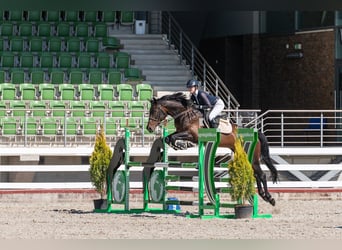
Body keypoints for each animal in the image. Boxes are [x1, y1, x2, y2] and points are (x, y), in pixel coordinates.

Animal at [146, 92, 278, 205]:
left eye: (154, 111)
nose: (149, 128)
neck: (185, 114)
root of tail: (256, 133)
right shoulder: (182, 132)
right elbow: (168, 138)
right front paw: (179, 145)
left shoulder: (192, 135)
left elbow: (173, 137)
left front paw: (180, 145)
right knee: (255, 174)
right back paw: (263, 195)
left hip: (253, 157)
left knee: (261, 175)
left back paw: (269, 198)